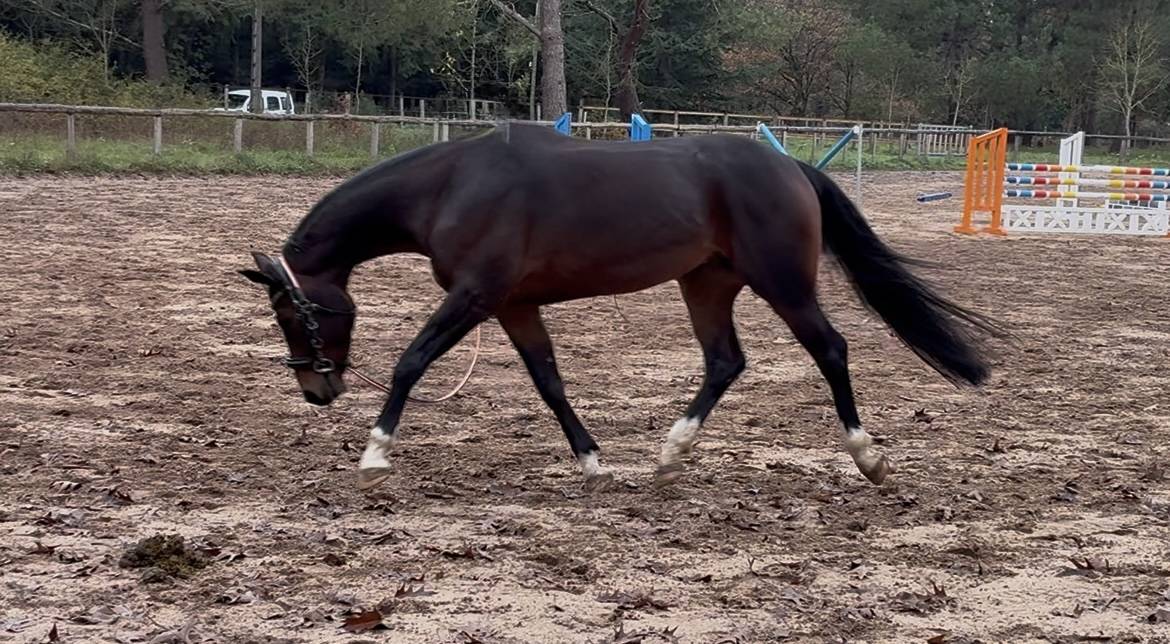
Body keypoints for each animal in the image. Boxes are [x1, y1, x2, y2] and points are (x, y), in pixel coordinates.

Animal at [240, 122, 999, 493]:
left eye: (292, 313)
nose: (315, 390)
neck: (452, 186)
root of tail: (791, 167)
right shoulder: (514, 306)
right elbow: (549, 383)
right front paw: (593, 463)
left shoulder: (476, 296)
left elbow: (411, 361)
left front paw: (374, 453)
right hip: (706, 285)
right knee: (725, 361)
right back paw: (668, 456)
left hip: (782, 284)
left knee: (830, 350)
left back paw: (868, 459)